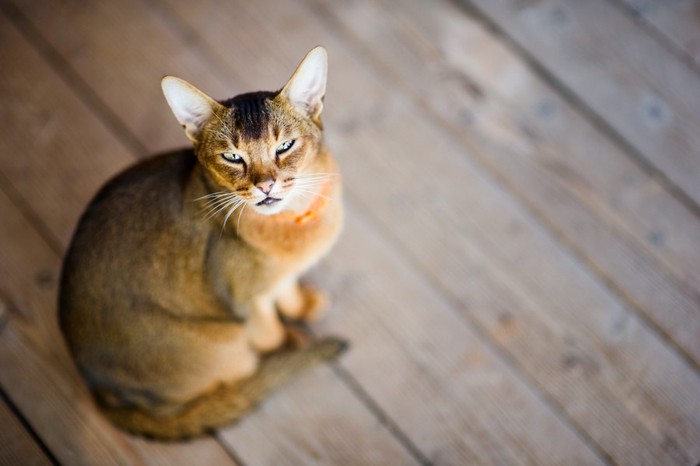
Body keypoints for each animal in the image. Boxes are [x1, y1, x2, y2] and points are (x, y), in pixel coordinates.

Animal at [58, 45, 346, 438]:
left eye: (285, 146)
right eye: (232, 156)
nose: (265, 186)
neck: (295, 218)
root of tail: (99, 391)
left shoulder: (278, 278)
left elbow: (286, 289)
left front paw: (302, 305)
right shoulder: (246, 300)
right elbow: (269, 332)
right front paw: (288, 342)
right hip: (226, 344)